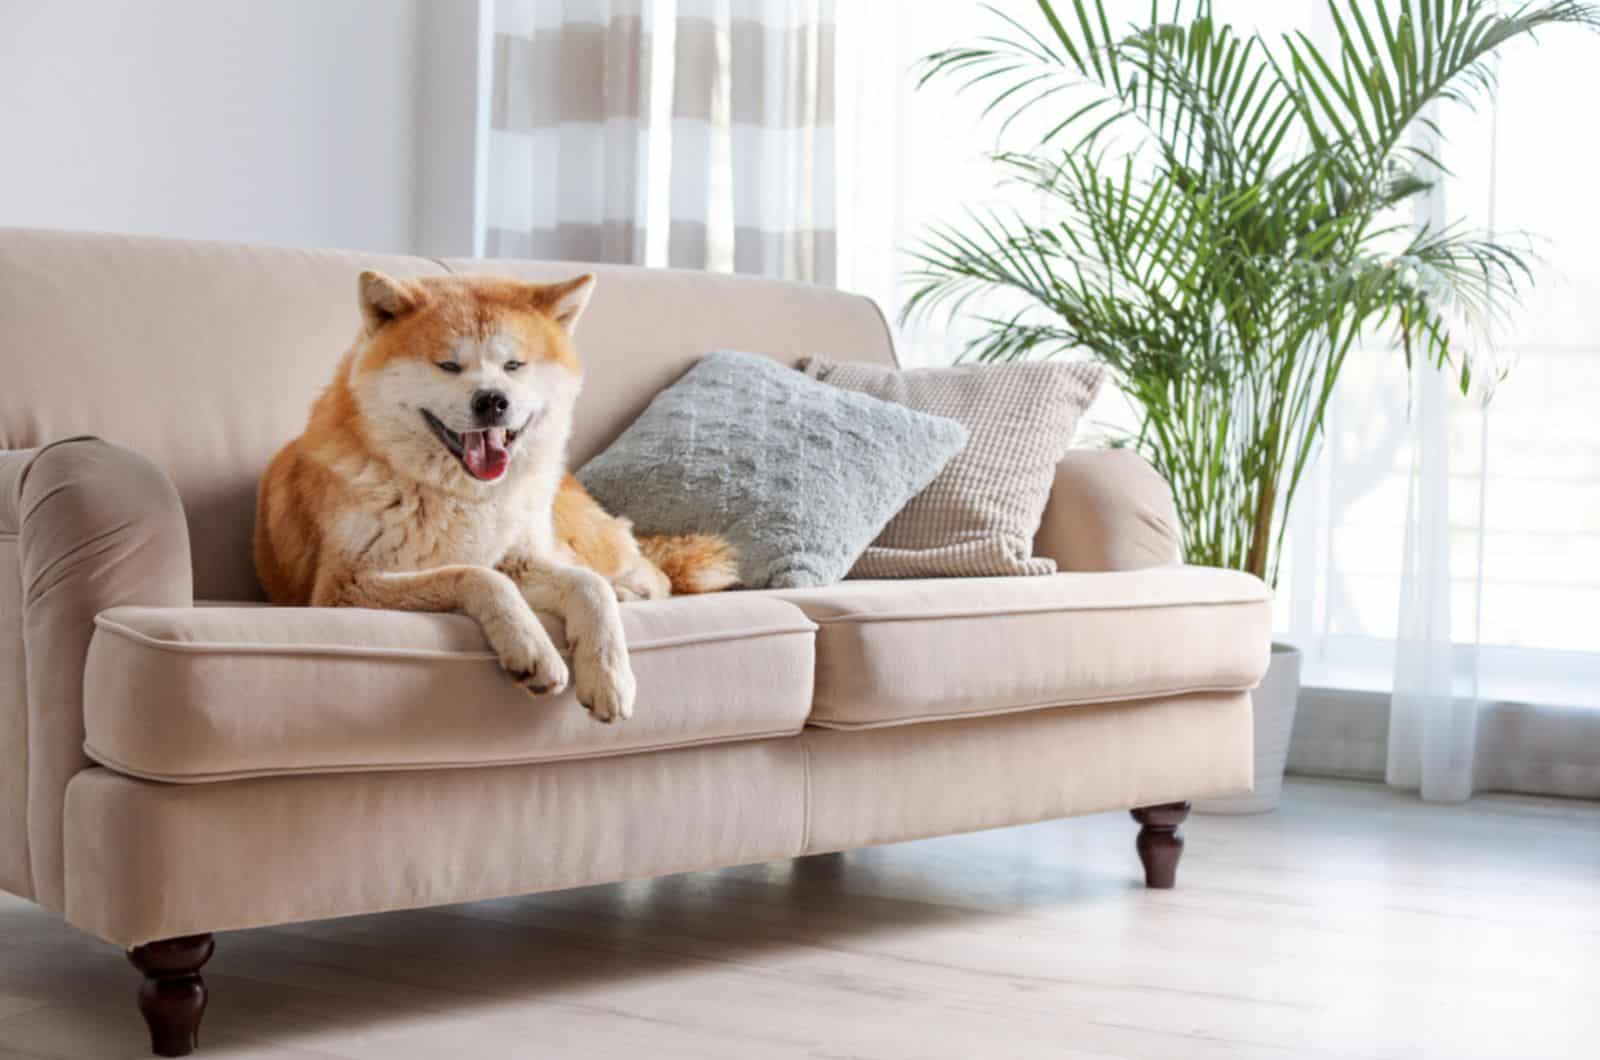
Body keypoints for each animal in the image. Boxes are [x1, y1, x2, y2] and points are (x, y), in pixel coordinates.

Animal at [254, 270, 736, 726]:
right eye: (448, 365)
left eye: (514, 365)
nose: (492, 400)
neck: (462, 497)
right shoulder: (345, 587)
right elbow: (477, 576)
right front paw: (533, 649)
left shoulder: (519, 558)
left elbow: (588, 586)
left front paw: (610, 676)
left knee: (647, 570)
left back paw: (629, 587)